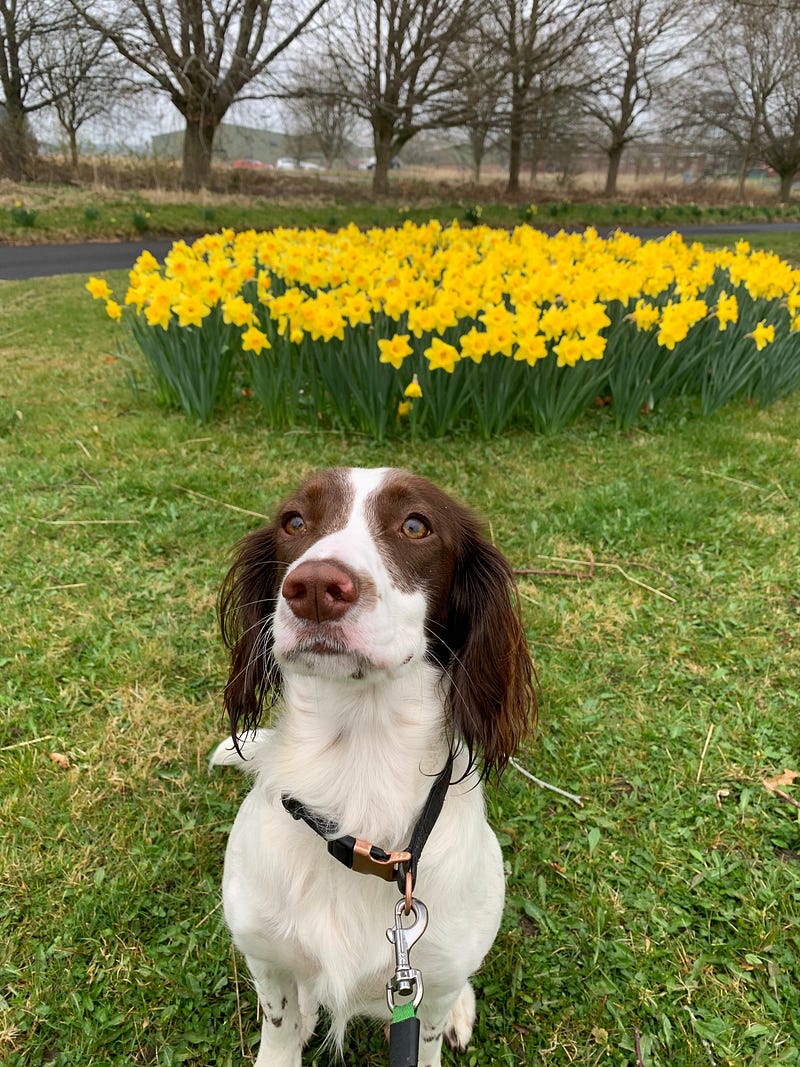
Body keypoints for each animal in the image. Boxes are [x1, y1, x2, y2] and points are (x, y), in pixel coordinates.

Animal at [211, 469, 539, 1067]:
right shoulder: (264, 955)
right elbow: (278, 1023)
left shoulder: (423, 985)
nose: (316, 586)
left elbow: (426, 1029)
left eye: (415, 526)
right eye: (295, 522)